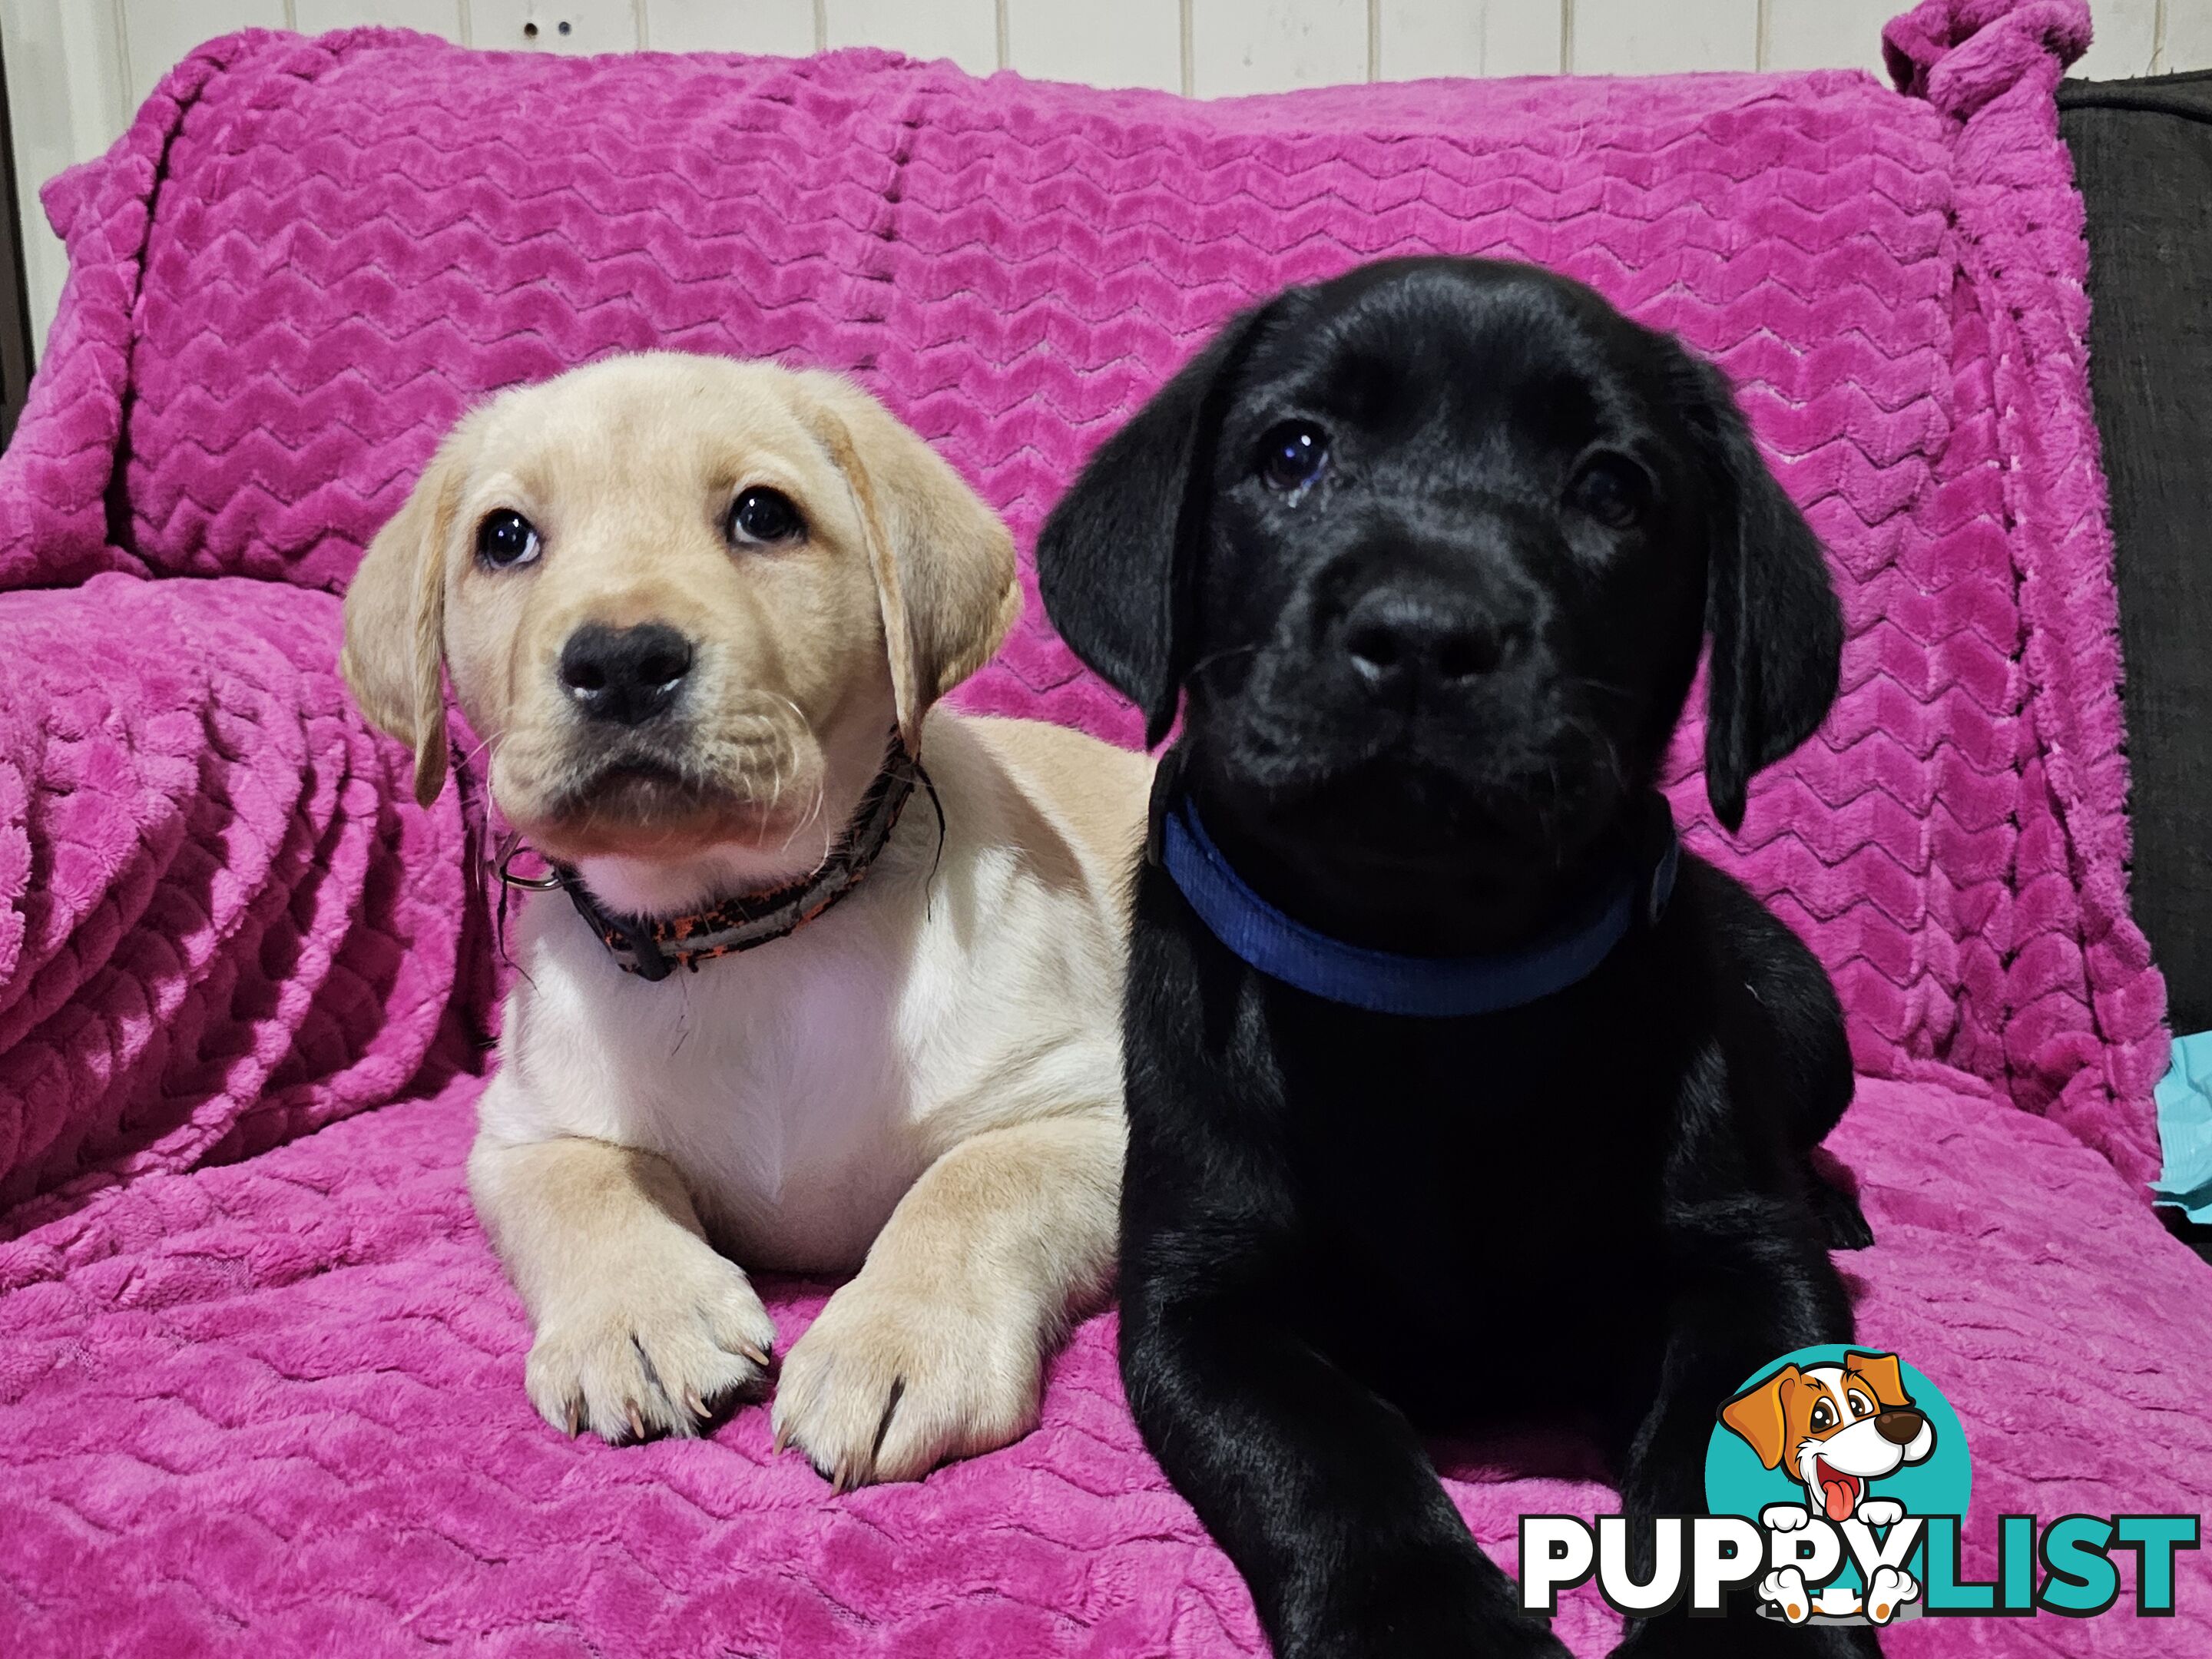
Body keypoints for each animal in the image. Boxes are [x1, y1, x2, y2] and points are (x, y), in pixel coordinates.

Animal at [343, 347, 1150, 1477]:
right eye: (505, 538)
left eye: (764, 516)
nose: (621, 661)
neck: (746, 927)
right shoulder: (523, 1129)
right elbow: (590, 1185)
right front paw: (640, 1316)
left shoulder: (1084, 1111)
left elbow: (970, 1190)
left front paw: (894, 1340)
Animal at [1035, 253, 1884, 1654]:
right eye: (1293, 453)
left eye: (1612, 488)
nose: (1428, 631)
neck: (1427, 981)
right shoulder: (1203, 1299)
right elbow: (1322, 1449)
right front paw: (1426, 1621)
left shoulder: (1742, 1262)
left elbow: (1742, 1448)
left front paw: (1752, 1631)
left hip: (1810, 1021)